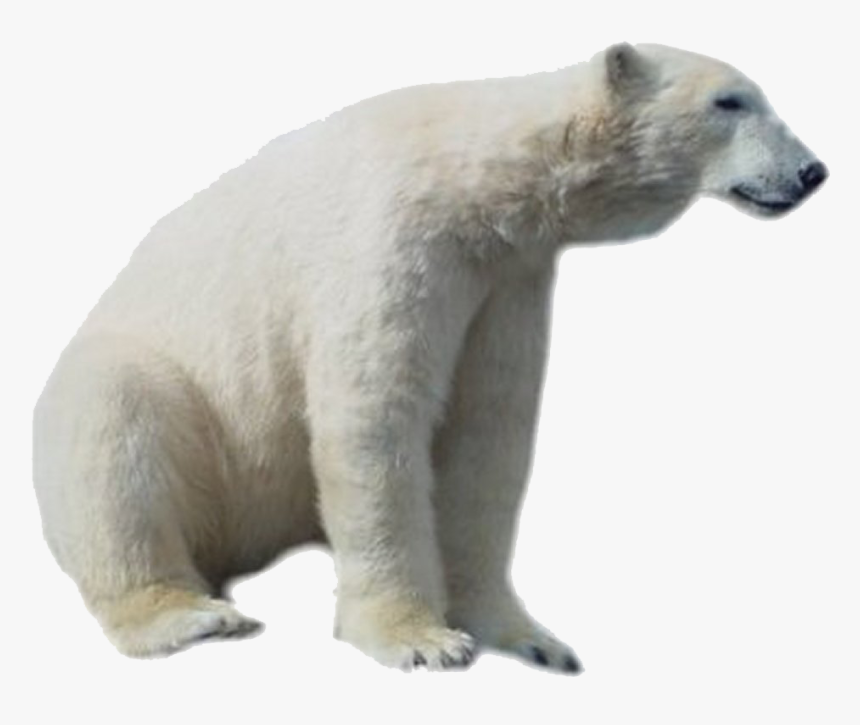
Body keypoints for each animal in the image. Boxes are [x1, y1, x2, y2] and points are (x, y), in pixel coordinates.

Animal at [33, 43, 827, 672]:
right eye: (731, 100)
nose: (813, 170)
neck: (473, 180)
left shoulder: (505, 278)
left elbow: (486, 435)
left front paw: (529, 638)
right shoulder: (394, 241)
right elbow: (376, 418)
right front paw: (421, 640)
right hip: (175, 408)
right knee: (116, 426)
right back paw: (194, 614)